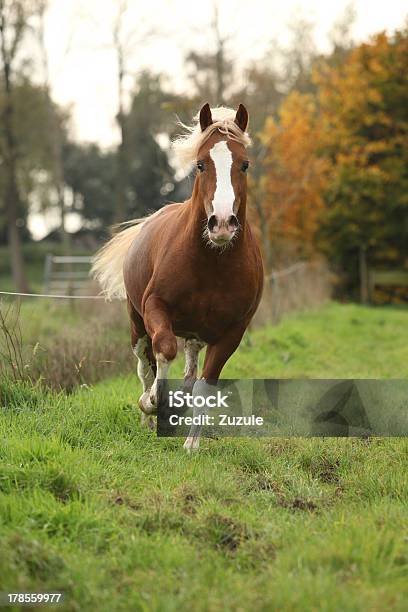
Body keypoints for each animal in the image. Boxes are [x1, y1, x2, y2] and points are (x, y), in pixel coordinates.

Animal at [92, 104, 262, 450]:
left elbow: (205, 385)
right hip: (136, 324)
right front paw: (151, 402)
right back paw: (148, 416)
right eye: (200, 164)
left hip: (196, 334)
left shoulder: (233, 331)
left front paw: (191, 444)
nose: (221, 223)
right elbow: (164, 351)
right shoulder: (156, 307)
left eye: (244, 164)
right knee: (145, 365)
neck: (213, 263)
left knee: (189, 372)